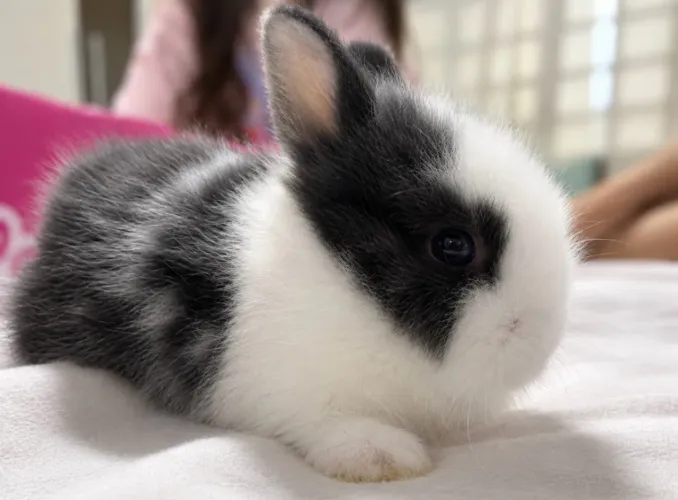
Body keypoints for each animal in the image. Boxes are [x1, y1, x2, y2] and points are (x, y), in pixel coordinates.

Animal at [9, 5, 578, 483]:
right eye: (453, 245)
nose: (545, 333)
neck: (342, 283)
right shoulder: (276, 388)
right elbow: (324, 420)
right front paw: (382, 456)